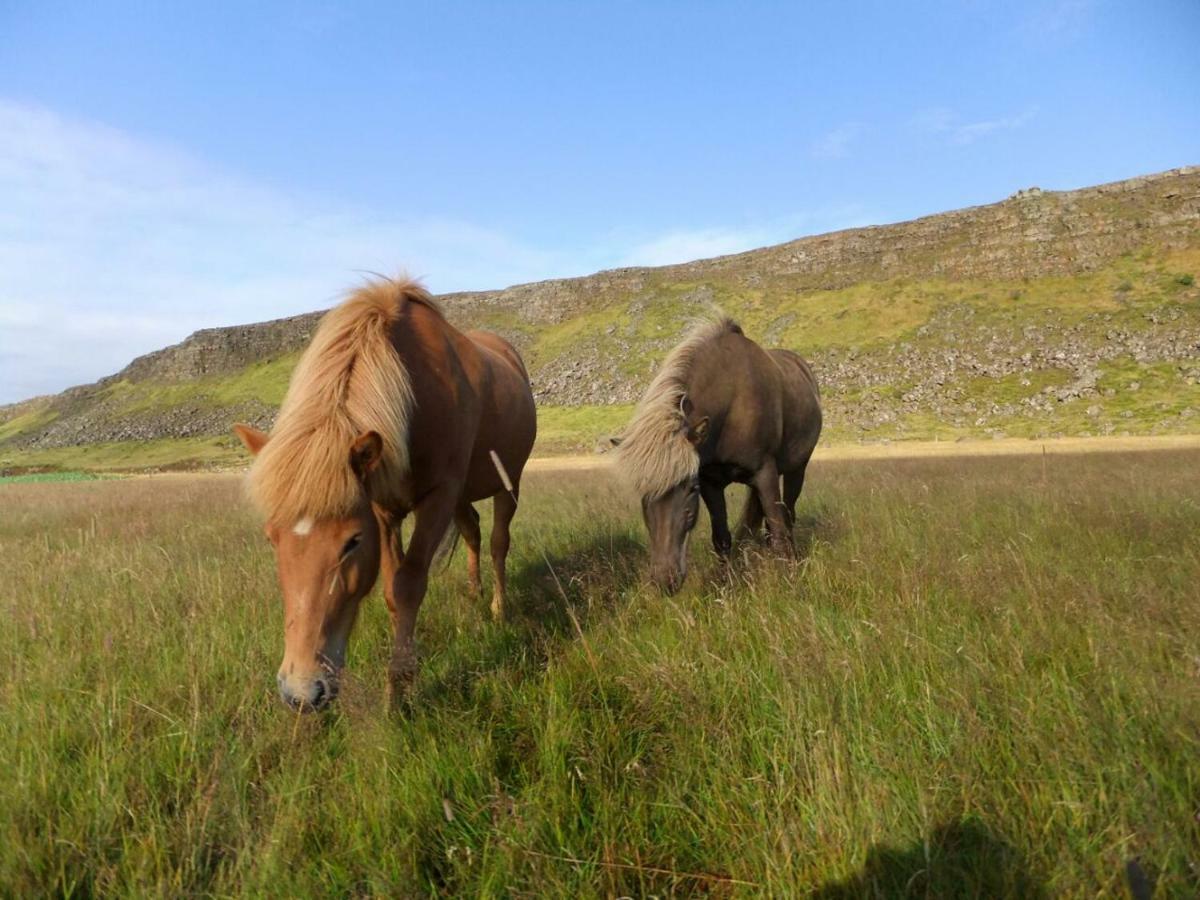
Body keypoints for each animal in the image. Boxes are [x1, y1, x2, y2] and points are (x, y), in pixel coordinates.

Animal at [234, 277, 535, 710]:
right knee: (472, 533)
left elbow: (408, 586)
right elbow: (392, 590)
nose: (302, 692)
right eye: (271, 538)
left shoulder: (437, 499)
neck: (416, 395)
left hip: (507, 482)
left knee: (497, 542)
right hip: (463, 499)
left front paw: (400, 687)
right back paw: (474, 595)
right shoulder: (383, 509)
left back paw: (498, 607)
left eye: (352, 541)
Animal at [614, 316, 820, 592]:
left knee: (788, 515)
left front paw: (789, 577)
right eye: (642, 492)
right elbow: (721, 538)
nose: (666, 578)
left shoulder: (764, 474)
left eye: (690, 489)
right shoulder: (712, 483)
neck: (731, 403)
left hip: (797, 469)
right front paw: (726, 585)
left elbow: (779, 528)